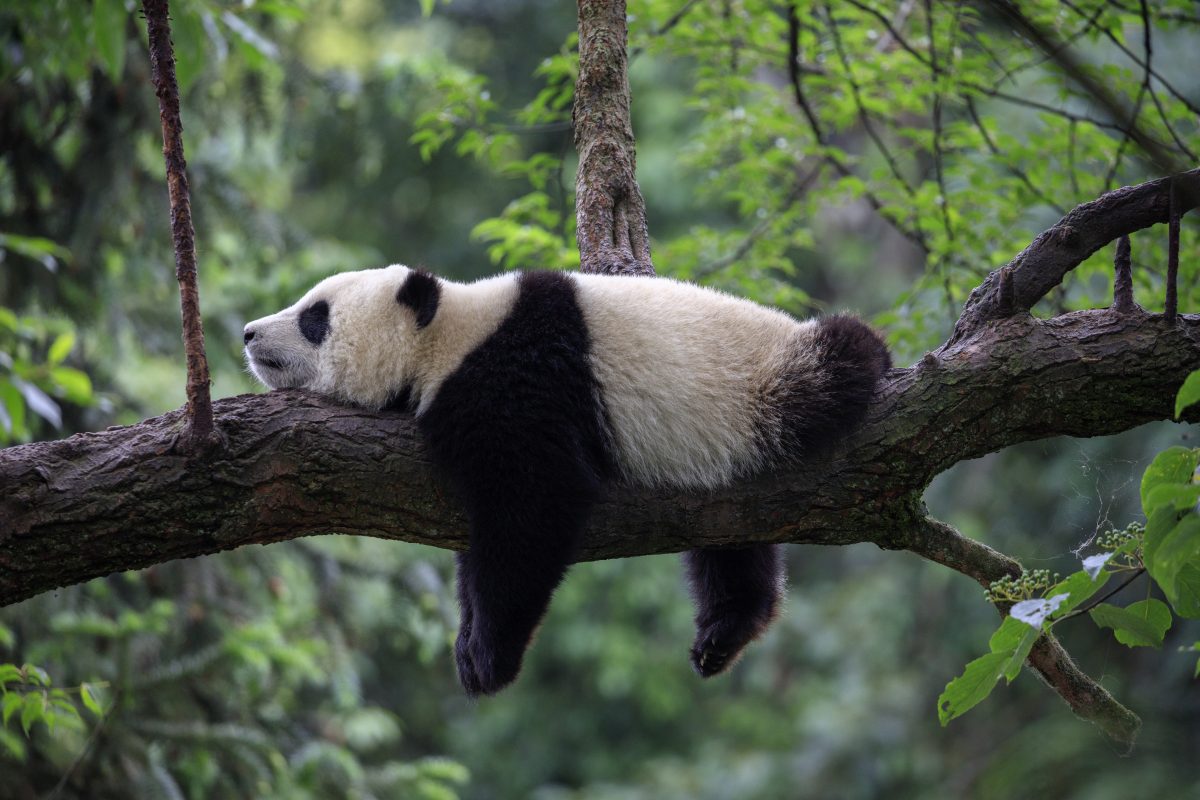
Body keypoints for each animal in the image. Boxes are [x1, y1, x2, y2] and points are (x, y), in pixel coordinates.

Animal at [241, 266, 892, 695]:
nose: (248, 332)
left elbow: (533, 507)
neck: (449, 334)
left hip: (765, 386)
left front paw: (487, 657)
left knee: (838, 361)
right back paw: (724, 632)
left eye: (315, 317)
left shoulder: (518, 381)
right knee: (731, 542)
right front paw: (468, 640)